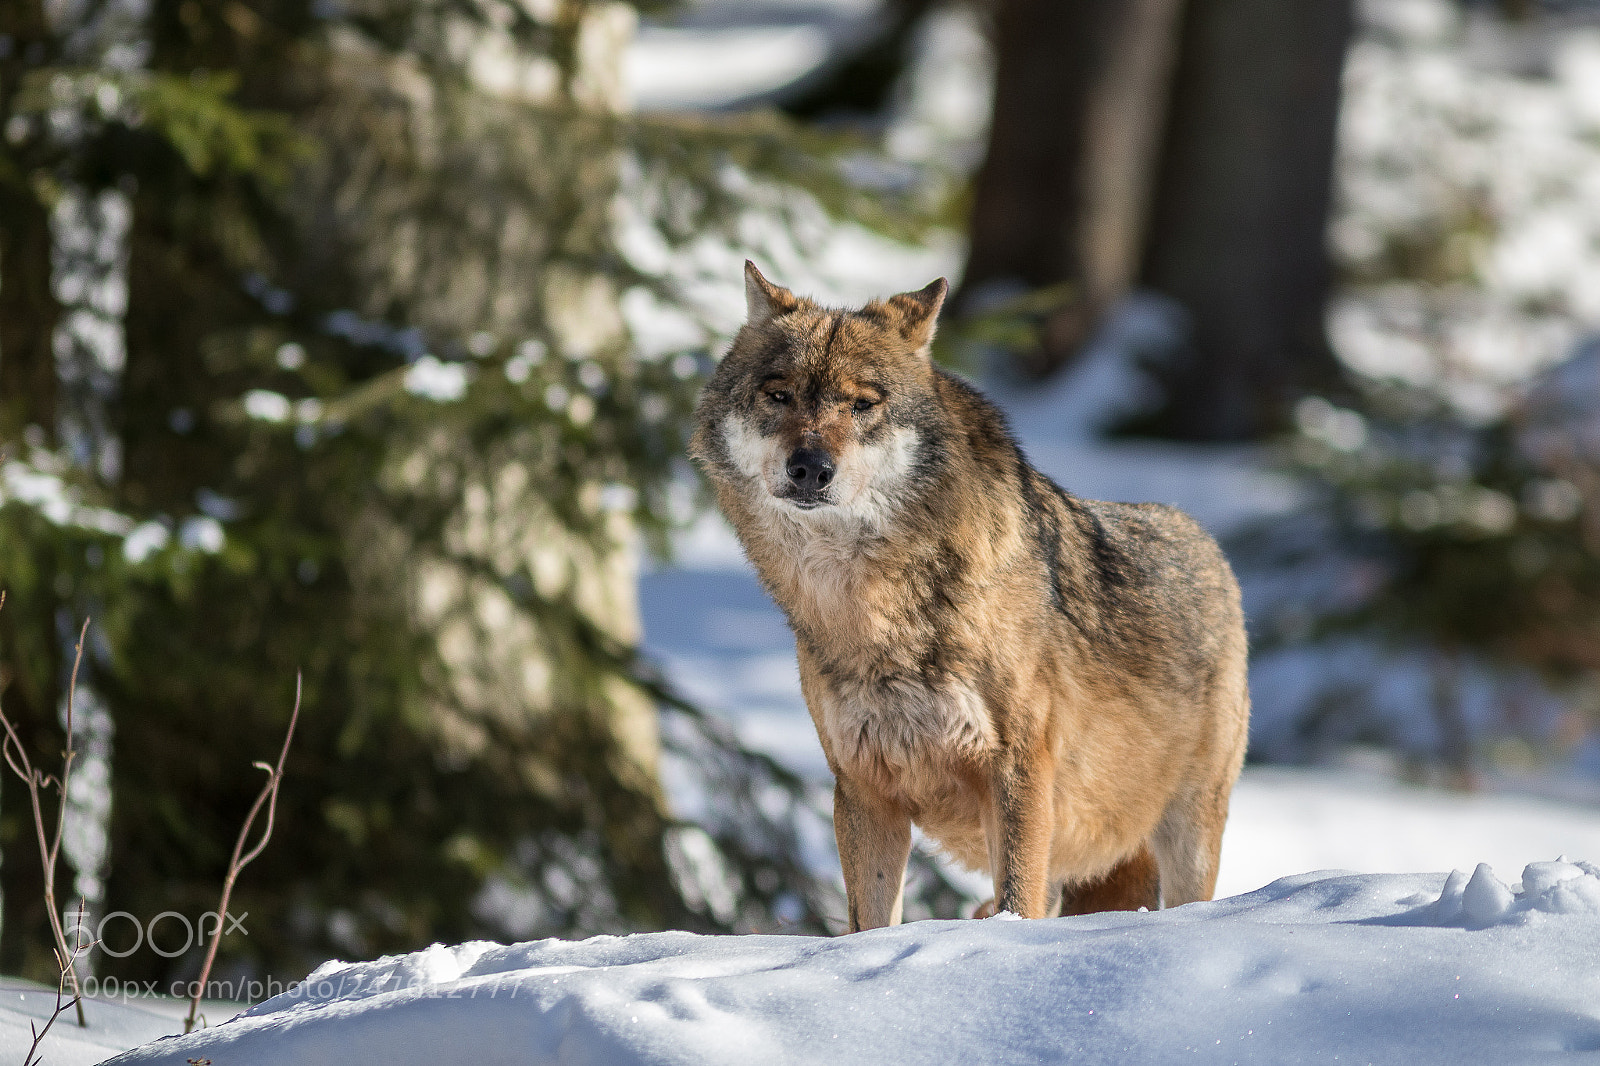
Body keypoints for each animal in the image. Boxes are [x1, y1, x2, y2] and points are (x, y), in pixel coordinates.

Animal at [689, 262, 1249, 931]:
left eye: (863, 404)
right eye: (780, 395)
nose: (810, 468)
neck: (876, 614)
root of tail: (1208, 546)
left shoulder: (1018, 770)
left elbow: (1016, 902)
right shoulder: (861, 788)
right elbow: (869, 920)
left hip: (1187, 831)